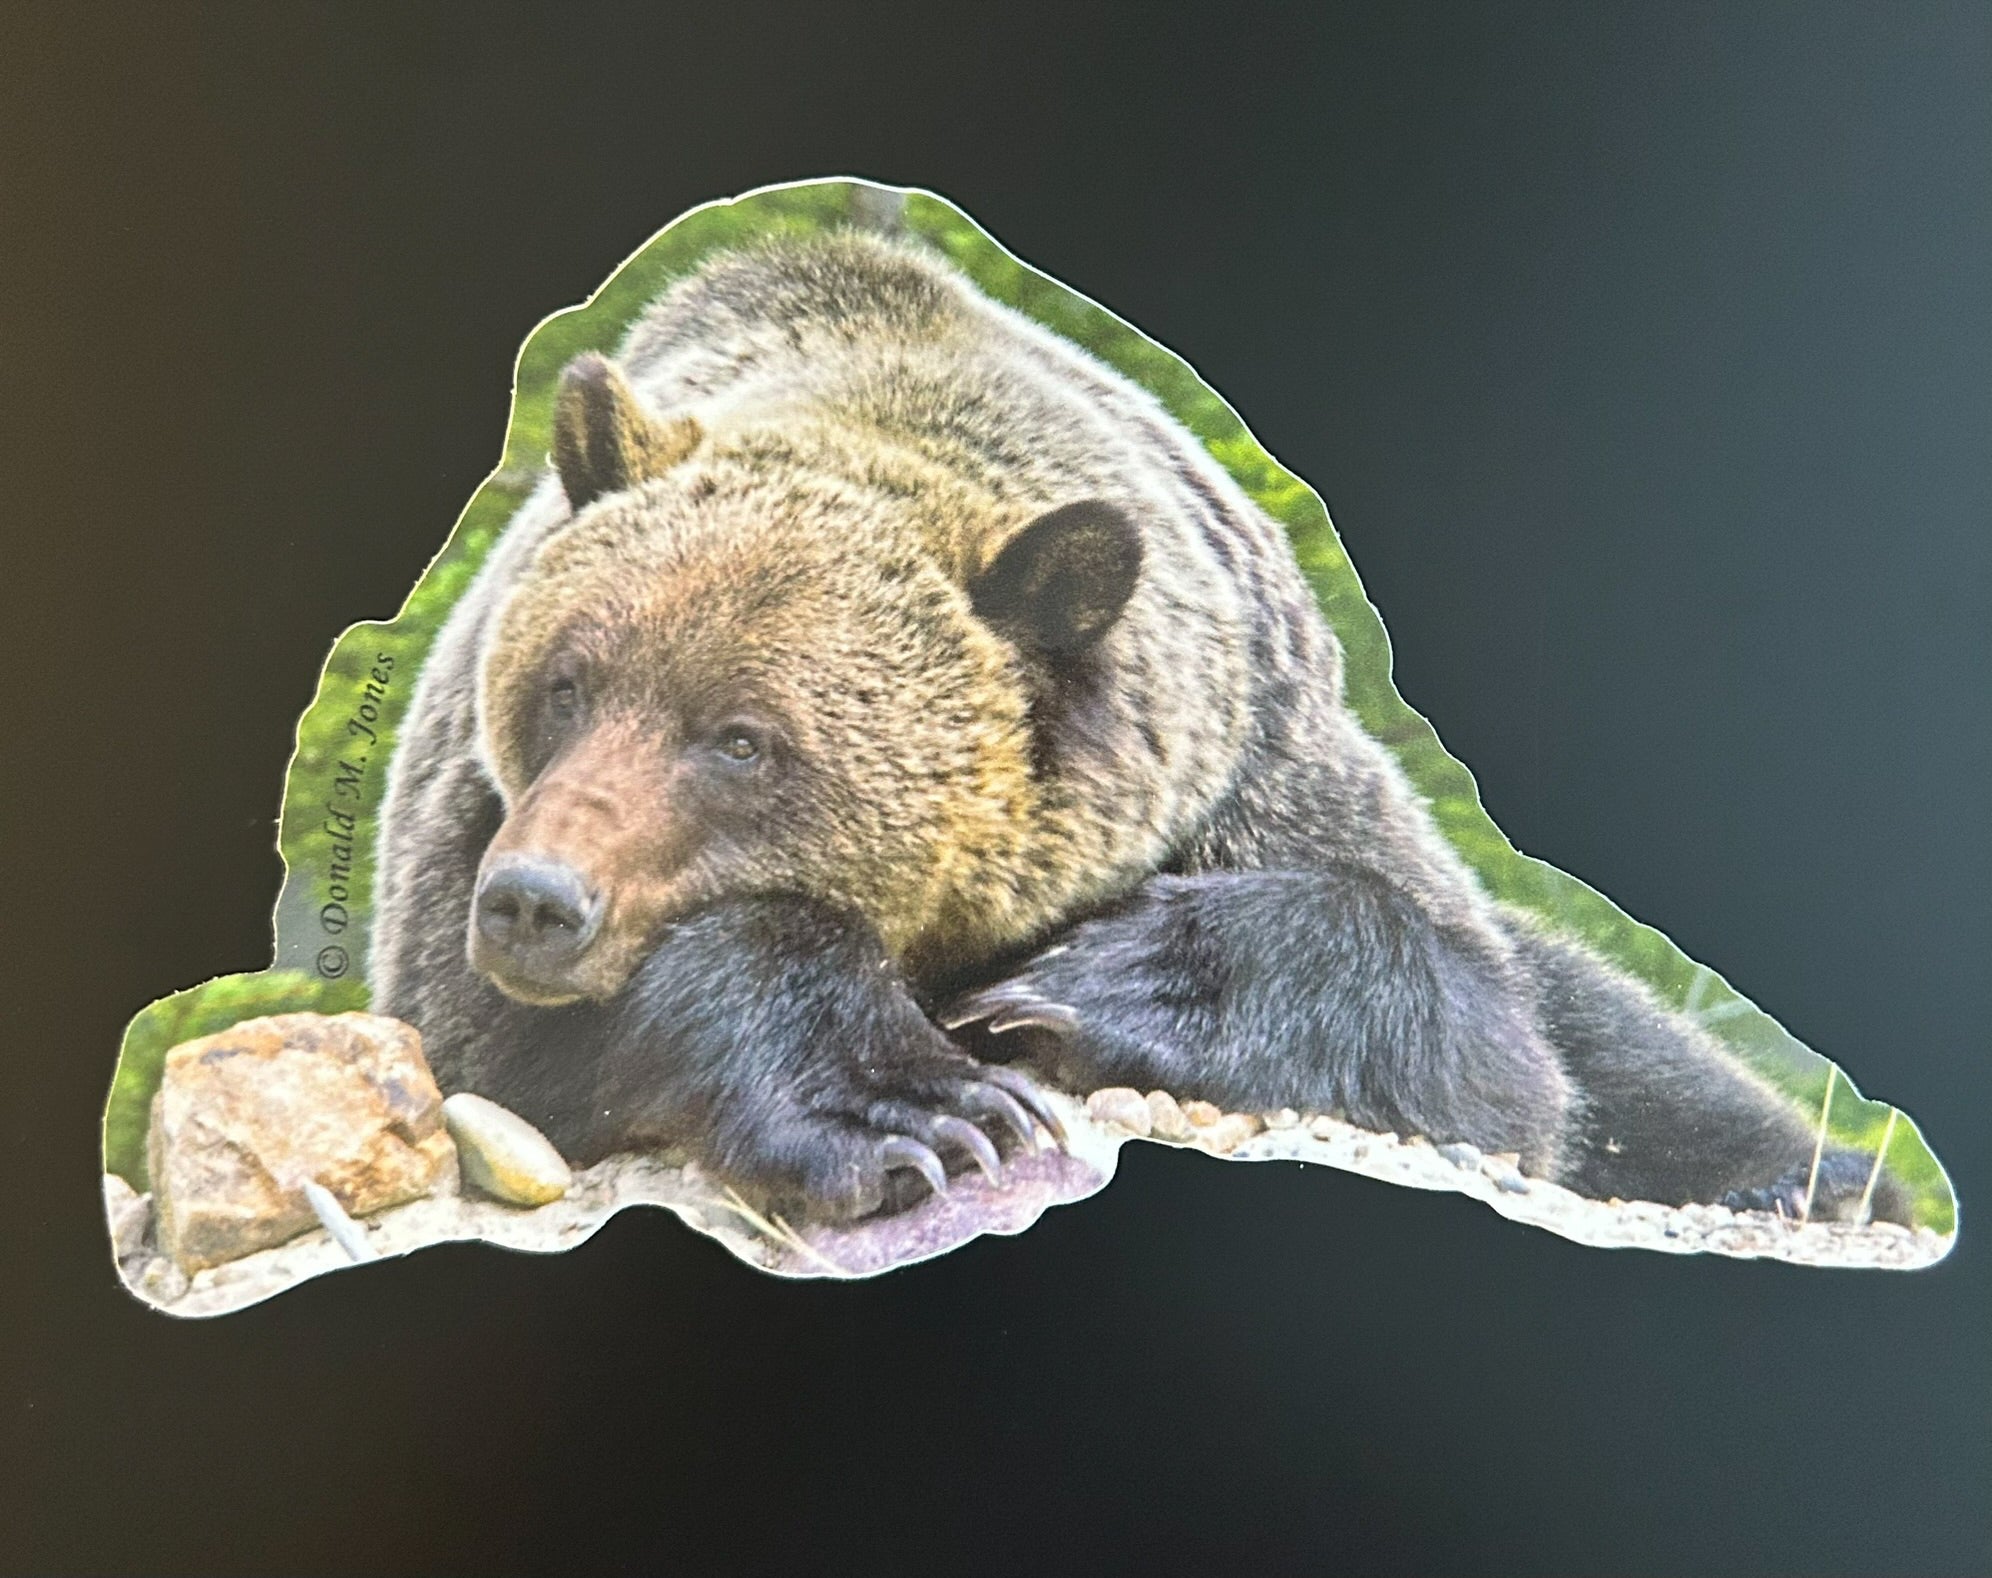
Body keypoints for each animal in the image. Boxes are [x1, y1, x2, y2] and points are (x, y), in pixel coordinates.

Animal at [369, 228, 1903, 1226]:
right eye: (566, 683)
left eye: (743, 738)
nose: (537, 900)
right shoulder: (459, 849)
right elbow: (497, 1052)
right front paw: (911, 1109)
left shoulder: (1254, 767)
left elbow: (1496, 1046)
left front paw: (1105, 983)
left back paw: (1811, 1174)